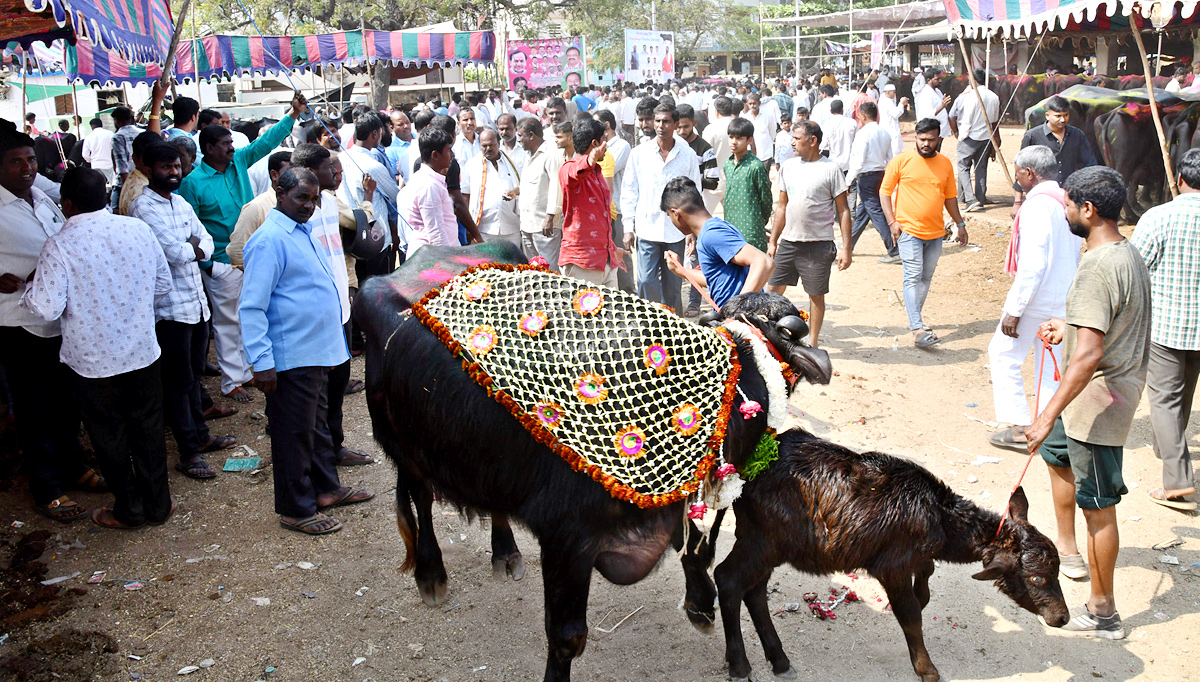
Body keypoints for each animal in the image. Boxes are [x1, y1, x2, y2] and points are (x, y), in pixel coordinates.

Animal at [350, 246, 830, 682]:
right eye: (781, 329)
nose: (817, 358)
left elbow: (697, 547)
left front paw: (699, 603)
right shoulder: (567, 539)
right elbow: (567, 637)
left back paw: (505, 552)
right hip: (403, 444)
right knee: (421, 499)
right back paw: (431, 575)